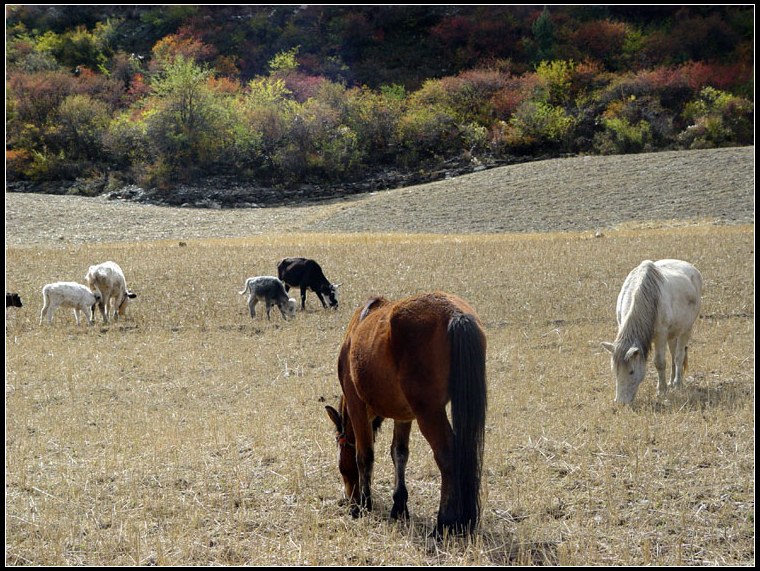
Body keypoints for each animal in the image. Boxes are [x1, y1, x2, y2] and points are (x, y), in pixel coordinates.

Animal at [326, 292, 486, 540]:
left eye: (341, 465)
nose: (348, 497)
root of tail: (455, 314)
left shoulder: (356, 406)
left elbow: (364, 456)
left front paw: (363, 505)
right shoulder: (403, 415)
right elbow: (399, 454)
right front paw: (399, 506)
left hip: (429, 413)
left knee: (447, 455)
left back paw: (444, 522)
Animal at [604, 260, 704, 406]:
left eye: (631, 372)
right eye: (614, 371)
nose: (621, 402)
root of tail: (693, 269)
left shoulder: (660, 335)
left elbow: (660, 362)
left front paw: (661, 390)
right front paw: (665, 387)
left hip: (686, 330)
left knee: (679, 356)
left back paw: (677, 383)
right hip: (672, 334)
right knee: (673, 354)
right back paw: (671, 382)